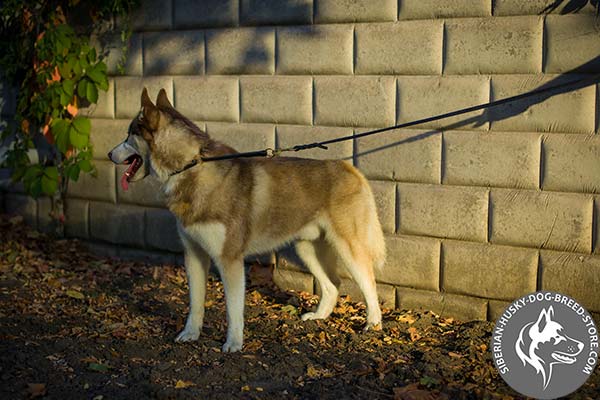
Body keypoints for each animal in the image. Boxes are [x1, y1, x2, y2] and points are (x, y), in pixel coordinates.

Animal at [109, 89, 386, 352]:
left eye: (128, 134)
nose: (109, 153)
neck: (192, 167)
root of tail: (350, 169)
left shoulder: (229, 259)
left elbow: (233, 310)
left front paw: (233, 344)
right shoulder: (194, 254)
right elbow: (195, 304)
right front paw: (190, 334)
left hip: (349, 249)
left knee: (369, 283)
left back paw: (373, 323)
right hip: (307, 248)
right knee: (332, 285)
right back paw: (319, 316)